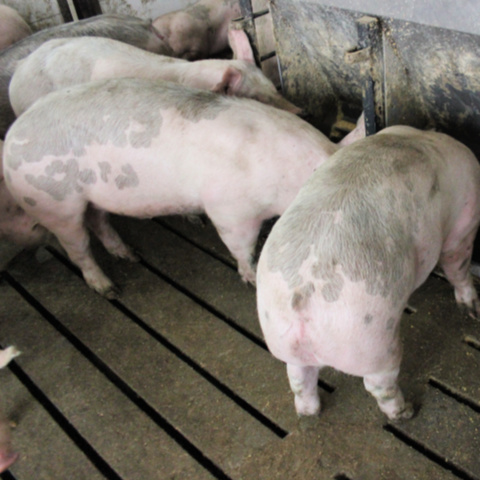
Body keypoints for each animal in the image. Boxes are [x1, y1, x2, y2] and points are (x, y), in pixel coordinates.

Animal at [1, 77, 360, 298]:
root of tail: (12, 136)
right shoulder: (229, 210)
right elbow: (240, 246)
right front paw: (251, 276)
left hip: (92, 197)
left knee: (99, 222)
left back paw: (130, 255)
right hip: (54, 202)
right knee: (78, 248)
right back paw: (110, 289)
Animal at [256, 125, 480, 422]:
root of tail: (302, 296)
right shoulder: (463, 222)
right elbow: (457, 264)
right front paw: (472, 309)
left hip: (283, 339)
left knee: (298, 378)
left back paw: (309, 413)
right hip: (372, 342)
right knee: (378, 385)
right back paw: (405, 412)